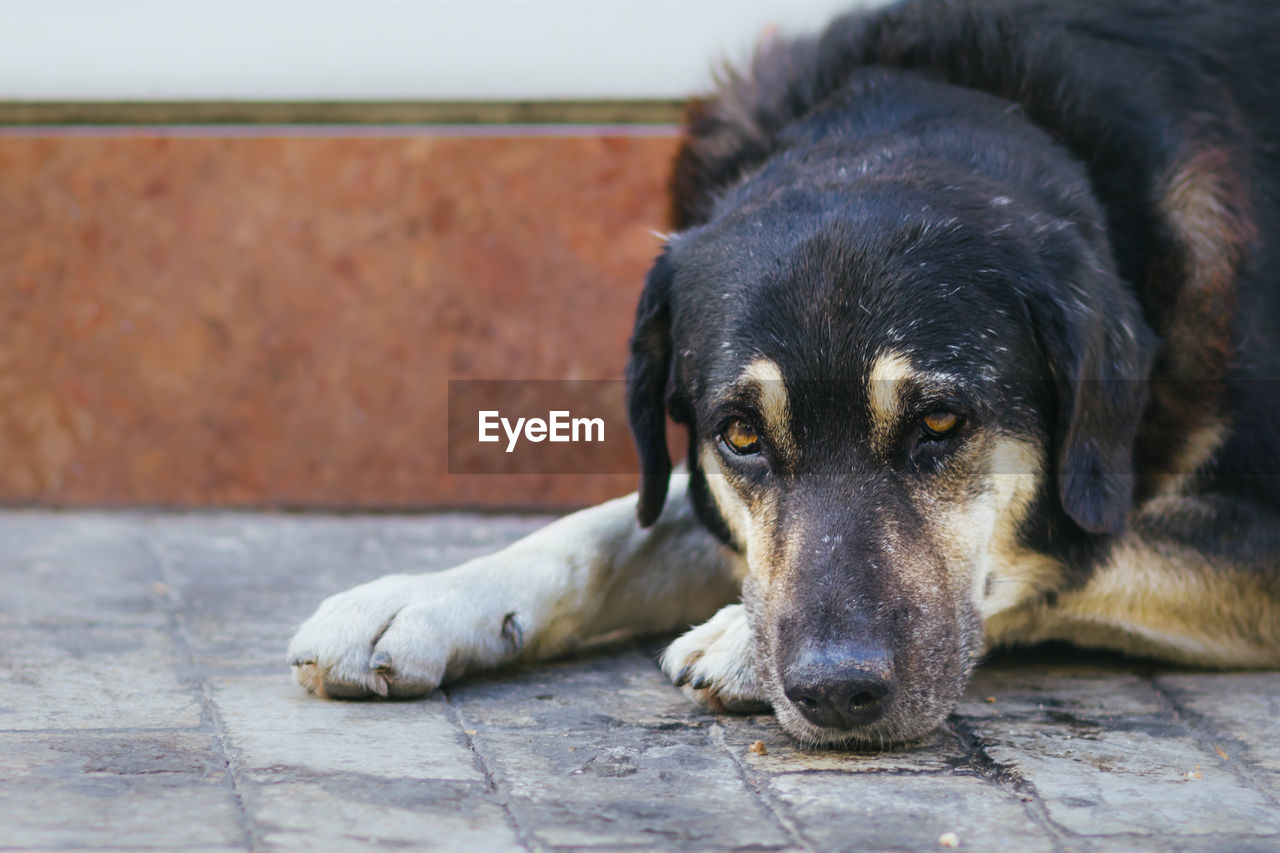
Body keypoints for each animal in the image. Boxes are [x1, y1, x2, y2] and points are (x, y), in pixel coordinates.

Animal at [288, 0, 1280, 742]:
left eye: (941, 423)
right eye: (740, 435)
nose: (835, 690)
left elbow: (1069, 551)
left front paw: (735, 637)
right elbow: (621, 526)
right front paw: (423, 599)